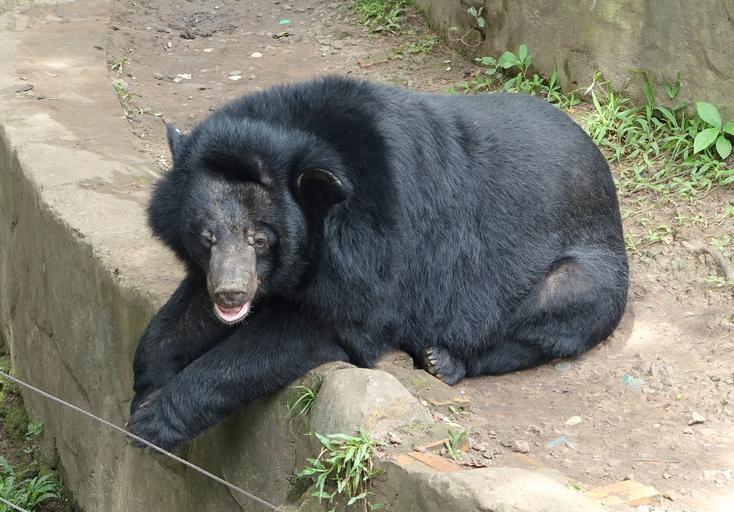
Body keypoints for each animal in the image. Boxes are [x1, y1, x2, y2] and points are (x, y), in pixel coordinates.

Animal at [128, 75, 628, 450]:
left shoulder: (375, 254)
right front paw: (145, 388)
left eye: (261, 239)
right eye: (207, 237)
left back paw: (443, 359)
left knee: (561, 311)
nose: (231, 293)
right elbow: (177, 322)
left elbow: (312, 330)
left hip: (589, 264)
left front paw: (154, 421)